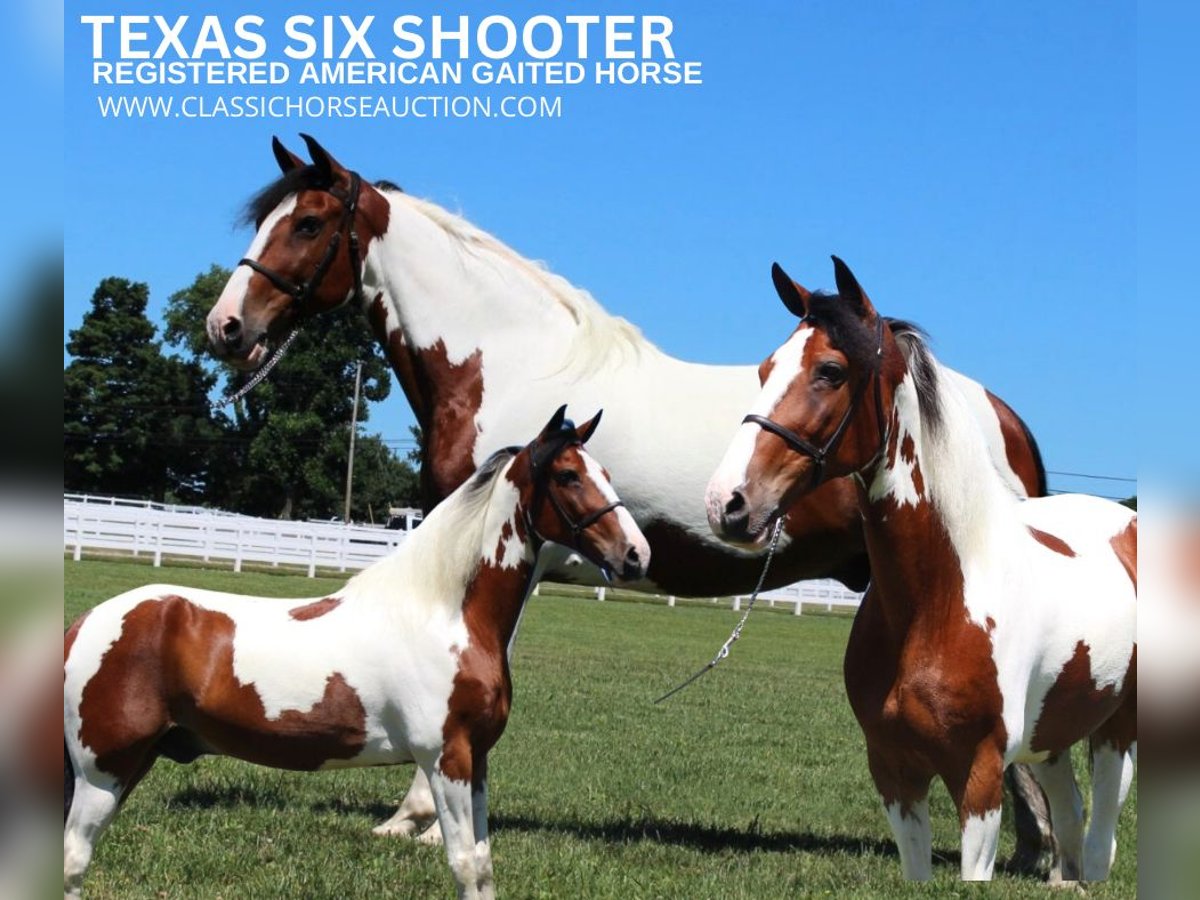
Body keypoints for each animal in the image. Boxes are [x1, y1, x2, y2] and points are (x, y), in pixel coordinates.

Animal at [62, 410, 652, 900]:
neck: (442, 612)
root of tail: (83, 623)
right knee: (72, 858)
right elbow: (464, 865)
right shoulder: (446, 759)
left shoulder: (477, 761)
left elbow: (483, 867)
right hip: (102, 771)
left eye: (605, 472)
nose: (637, 555)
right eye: (569, 476)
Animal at [705, 256, 1137, 883]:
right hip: (1051, 733)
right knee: (1070, 812)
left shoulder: (978, 779)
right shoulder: (894, 771)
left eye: (831, 371)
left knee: (1102, 828)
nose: (727, 504)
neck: (942, 597)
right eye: (766, 368)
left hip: (1116, 731)